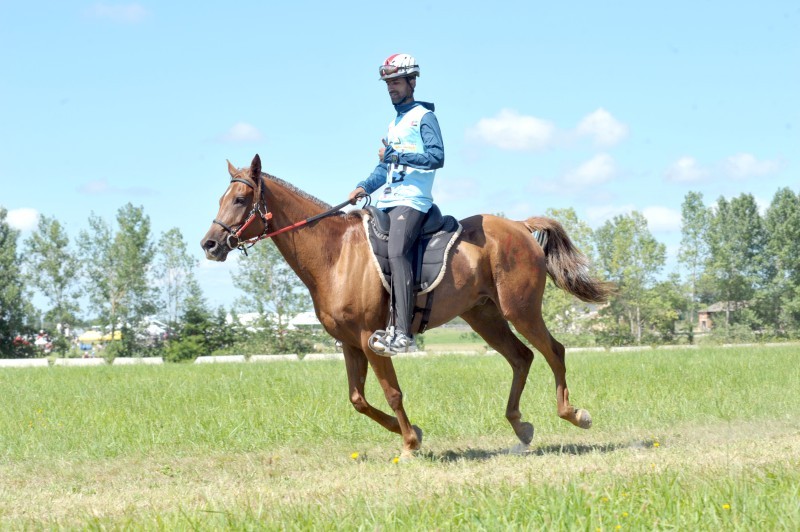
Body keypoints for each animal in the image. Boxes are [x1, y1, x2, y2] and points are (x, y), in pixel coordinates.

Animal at [202, 154, 612, 458]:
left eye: (240, 200)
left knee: (553, 351)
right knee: (521, 358)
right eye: (220, 199)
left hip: (521, 310)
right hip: (483, 315)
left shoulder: (371, 339)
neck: (335, 254)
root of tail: (521, 226)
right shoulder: (350, 344)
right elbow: (358, 400)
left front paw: (411, 443)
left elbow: (392, 393)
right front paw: (413, 430)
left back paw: (574, 414)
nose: (210, 244)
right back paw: (521, 426)